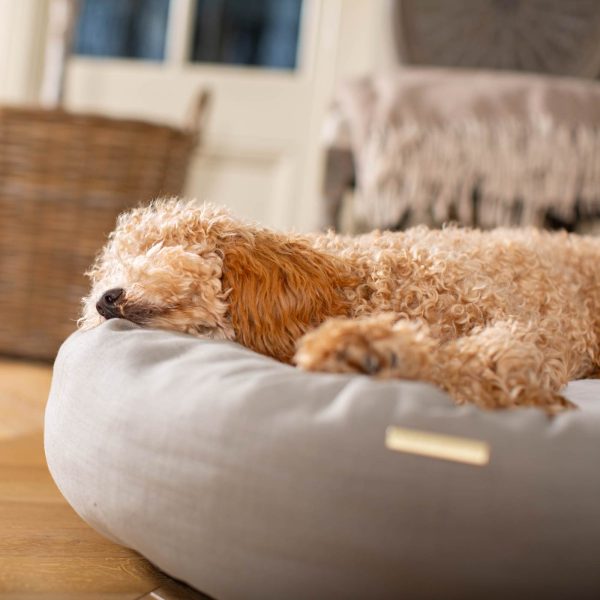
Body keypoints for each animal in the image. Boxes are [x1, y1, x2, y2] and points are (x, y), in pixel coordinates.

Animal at [82, 199, 600, 410]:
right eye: (110, 265)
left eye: (156, 248)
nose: (105, 300)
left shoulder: (527, 330)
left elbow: (481, 358)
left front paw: (371, 349)